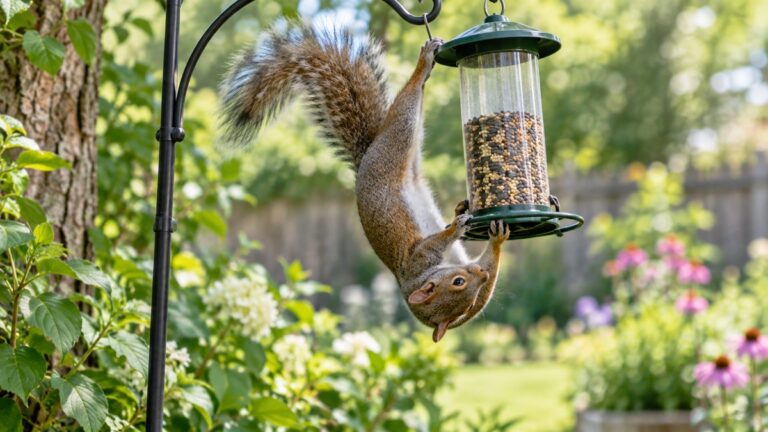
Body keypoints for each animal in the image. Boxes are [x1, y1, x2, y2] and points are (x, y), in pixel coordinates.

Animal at [219, 24, 510, 342]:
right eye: (458, 282)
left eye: (470, 302)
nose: (480, 275)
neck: (415, 278)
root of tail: (364, 163)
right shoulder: (420, 257)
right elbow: (435, 242)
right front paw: (459, 230)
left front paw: (495, 242)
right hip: (396, 143)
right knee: (407, 106)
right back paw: (423, 65)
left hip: (408, 157)